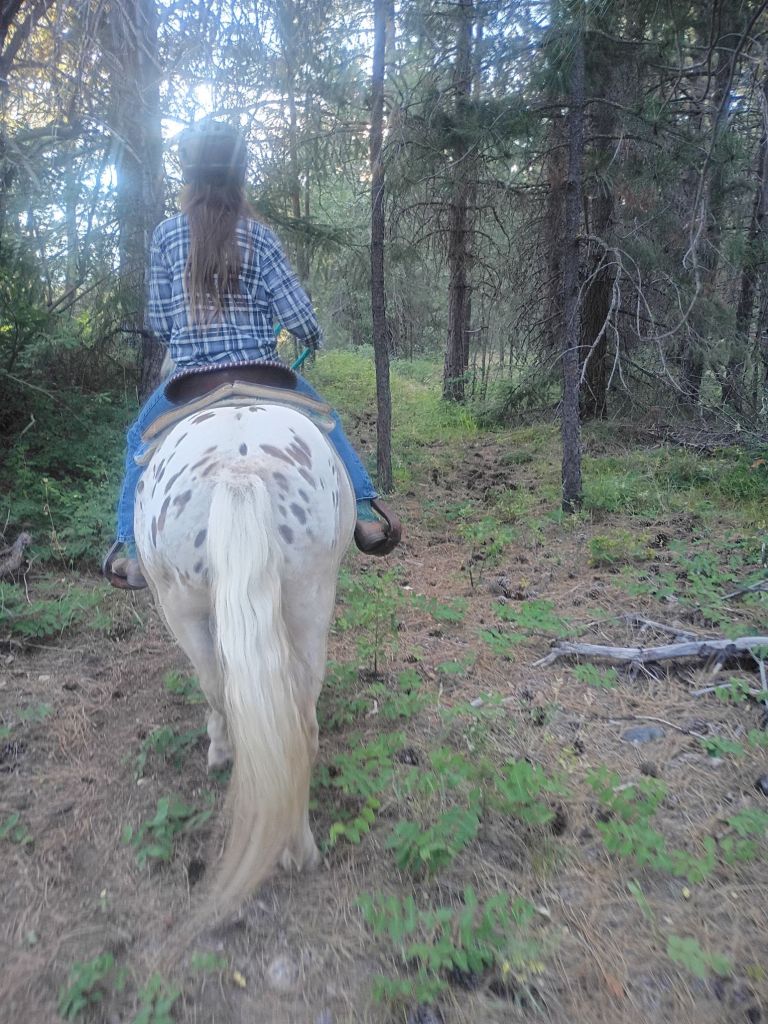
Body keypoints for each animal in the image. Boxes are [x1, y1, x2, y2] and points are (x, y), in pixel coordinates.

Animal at [134, 397, 355, 911]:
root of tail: (240, 466)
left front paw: (219, 751)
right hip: (311, 597)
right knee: (297, 722)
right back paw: (298, 847)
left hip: (180, 606)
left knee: (219, 687)